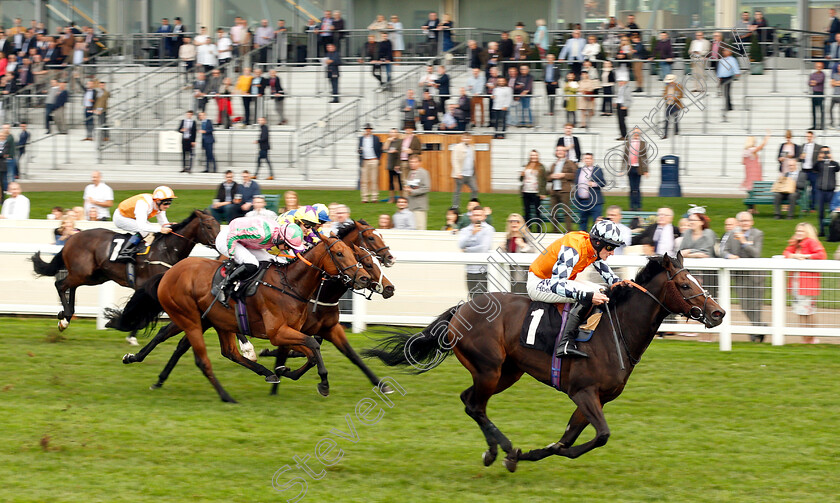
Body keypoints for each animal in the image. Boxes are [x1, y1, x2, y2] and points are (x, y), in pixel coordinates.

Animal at [31, 211, 218, 332]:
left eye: (217, 225)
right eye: (209, 226)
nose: (220, 242)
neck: (167, 249)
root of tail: (71, 238)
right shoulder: (146, 288)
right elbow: (139, 314)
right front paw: (117, 323)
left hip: (93, 276)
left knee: (71, 287)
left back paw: (65, 316)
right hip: (82, 273)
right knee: (60, 284)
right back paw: (65, 318)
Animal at [106, 237, 374, 406]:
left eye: (355, 255)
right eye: (339, 253)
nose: (363, 278)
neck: (292, 285)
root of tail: (169, 272)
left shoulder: (291, 331)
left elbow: (310, 352)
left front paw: (285, 370)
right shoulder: (278, 332)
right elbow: (313, 345)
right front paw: (323, 383)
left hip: (213, 321)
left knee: (223, 350)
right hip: (190, 317)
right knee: (201, 355)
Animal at [364, 256, 724, 472]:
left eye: (695, 280)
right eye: (685, 284)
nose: (718, 312)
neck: (615, 330)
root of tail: (462, 309)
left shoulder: (596, 398)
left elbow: (570, 438)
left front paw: (537, 452)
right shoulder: (583, 392)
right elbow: (599, 436)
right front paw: (531, 452)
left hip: (506, 372)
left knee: (470, 401)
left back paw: (495, 451)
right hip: (489, 368)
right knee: (476, 405)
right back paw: (506, 450)